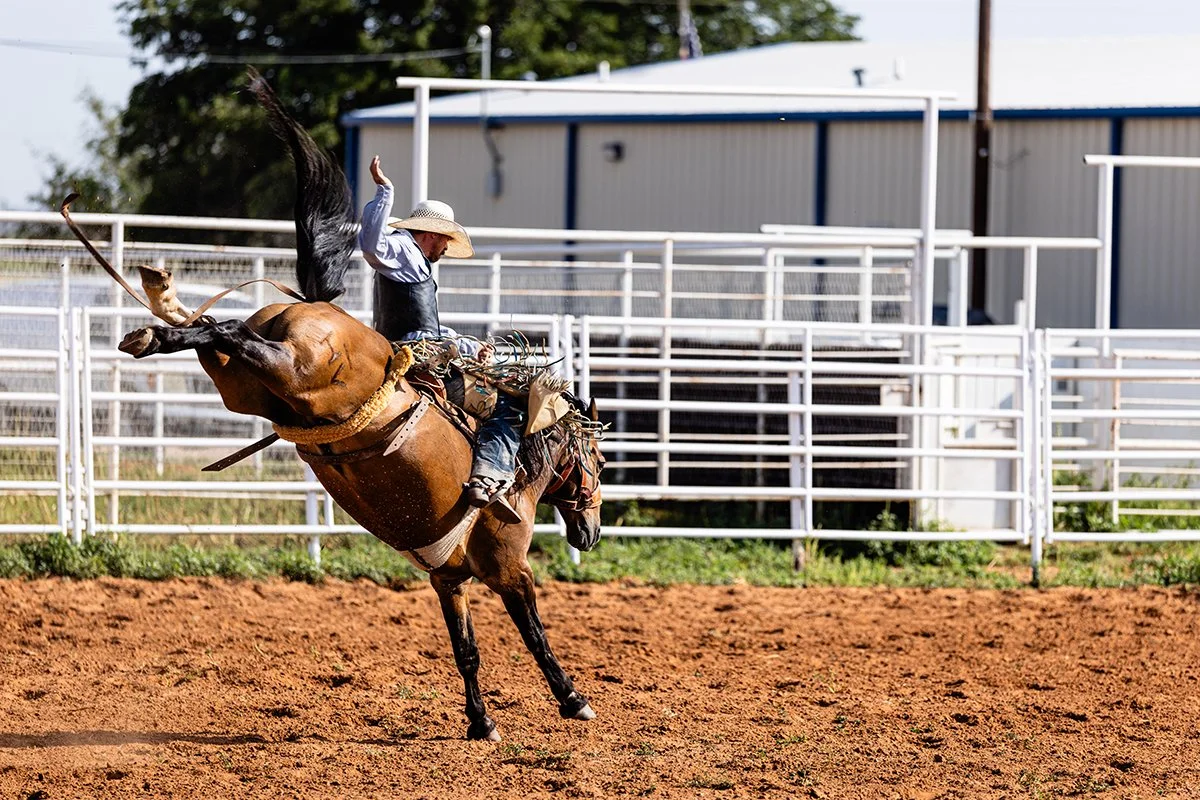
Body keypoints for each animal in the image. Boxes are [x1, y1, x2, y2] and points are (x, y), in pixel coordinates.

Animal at [61, 70, 604, 743]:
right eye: (600, 461)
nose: (591, 531)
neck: (521, 470)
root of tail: (302, 309)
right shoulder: (509, 568)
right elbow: (534, 636)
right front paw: (573, 700)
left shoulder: (447, 576)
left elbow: (466, 650)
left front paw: (481, 724)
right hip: (294, 372)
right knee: (231, 333)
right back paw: (165, 315)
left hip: (244, 388)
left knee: (219, 337)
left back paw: (157, 328)